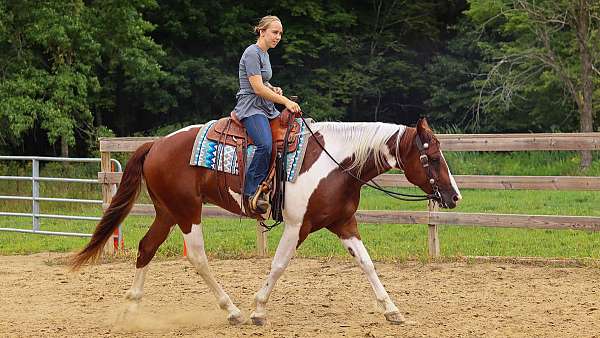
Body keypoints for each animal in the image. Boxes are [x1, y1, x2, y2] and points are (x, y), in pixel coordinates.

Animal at [72, 116, 462, 324]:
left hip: (167, 211)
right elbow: (278, 264)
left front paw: (392, 310)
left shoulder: (343, 223)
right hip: (186, 212)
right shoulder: (297, 226)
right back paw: (232, 310)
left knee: (146, 247)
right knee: (197, 257)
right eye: (431, 158)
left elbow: (367, 263)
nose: (455, 196)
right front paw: (259, 309)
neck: (336, 163)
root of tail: (155, 145)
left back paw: (131, 308)